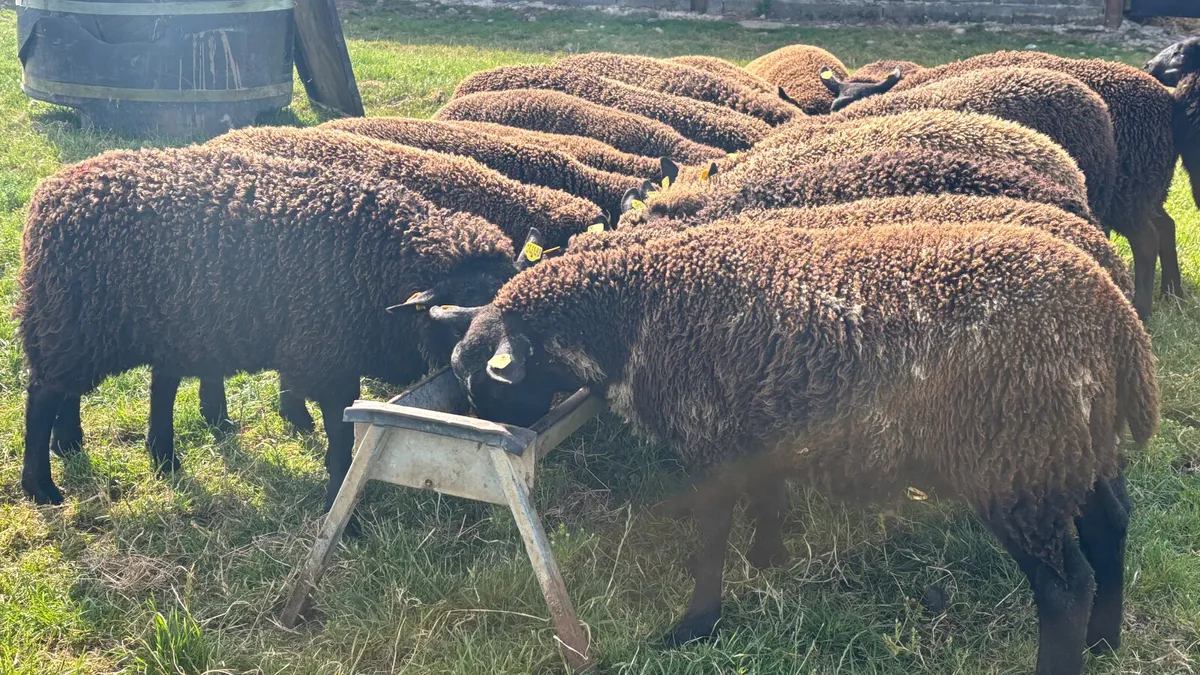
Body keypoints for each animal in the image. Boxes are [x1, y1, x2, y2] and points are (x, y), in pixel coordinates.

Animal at [18, 146, 516, 509]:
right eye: (458, 318)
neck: (382, 260)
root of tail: (51, 192)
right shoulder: (326, 356)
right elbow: (340, 438)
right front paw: (340, 507)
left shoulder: (310, 345)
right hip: (76, 319)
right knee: (44, 394)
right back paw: (41, 485)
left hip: (94, 324)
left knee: (94, 387)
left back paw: (98, 447)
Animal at [430, 221, 1156, 675]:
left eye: (479, 381)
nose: (486, 433)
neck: (632, 312)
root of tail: (1117, 323)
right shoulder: (757, 429)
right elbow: (766, 495)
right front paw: (769, 554)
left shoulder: (710, 436)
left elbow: (710, 535)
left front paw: (696, 624)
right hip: (1075, 447)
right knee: (1112, 524)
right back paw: (1106, 640)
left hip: (1016, 459)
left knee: (1064, 585)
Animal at [833, 50, 1182, 306]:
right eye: (836, 102)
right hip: (1143, 187)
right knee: (1165, 226)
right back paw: (1172, 293)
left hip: (1132, 186)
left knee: (1146, 240)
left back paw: (1144, 307)